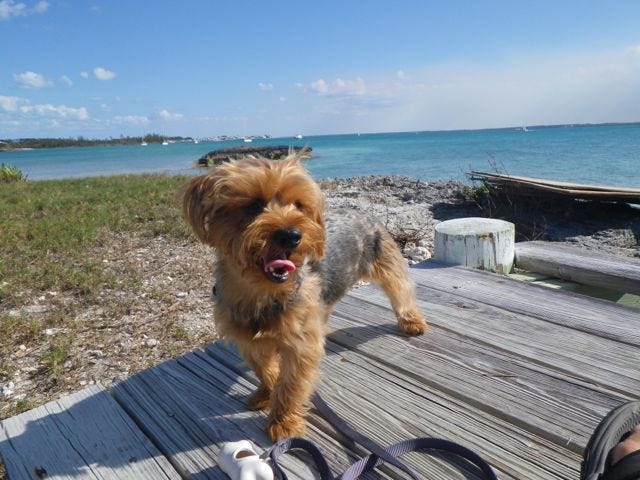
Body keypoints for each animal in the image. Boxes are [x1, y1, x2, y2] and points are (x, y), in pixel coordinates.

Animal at [182, 153, 428, 438]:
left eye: (299, 205)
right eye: (253, 205)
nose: (291, 235)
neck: (261, 292)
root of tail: (362, 212)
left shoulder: (299, 344)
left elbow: (291, 383)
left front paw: (283, 421)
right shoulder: (249, 340)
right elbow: (265, 369)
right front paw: (265, 393)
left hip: (385, 260)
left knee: (400, 288)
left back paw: (411, 320)